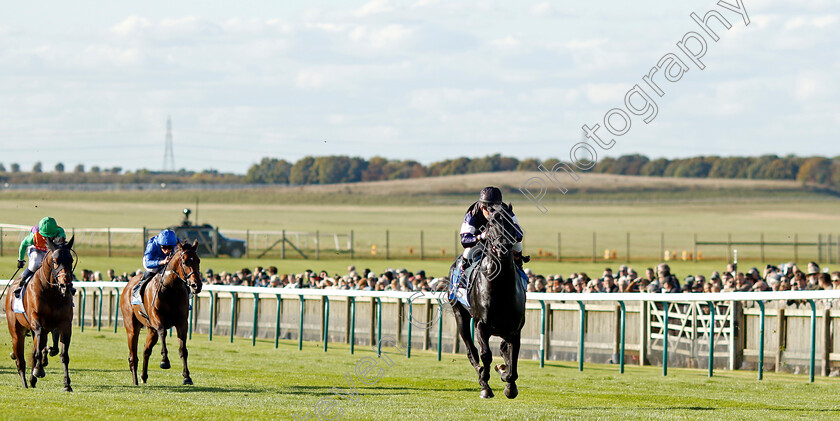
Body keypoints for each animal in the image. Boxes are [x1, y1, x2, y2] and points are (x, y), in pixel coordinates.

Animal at [4, 236, 75, 390]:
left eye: (71, 260)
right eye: (55, 261)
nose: (65, 286)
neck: (52, 293)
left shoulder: (65, 324)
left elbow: (63, 355)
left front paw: (67, 384)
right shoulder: (37, 321)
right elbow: (37, 349)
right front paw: (39, 369)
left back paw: (33, 377)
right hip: (16, 331)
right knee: (20, 359)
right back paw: (26, 381)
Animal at [120, 240, 203, 384]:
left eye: (198, 260)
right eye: (185, 261)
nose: (196, 285)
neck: (172, 289)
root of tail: (127, 286)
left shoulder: (182, 322)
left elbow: (183, 349)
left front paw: (187, 376)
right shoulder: (157, 318)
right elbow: (163, 332)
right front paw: (164, 361)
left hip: (151, 330)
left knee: (146, 351)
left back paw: (144, 377)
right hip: (131, 327)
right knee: (133, 356)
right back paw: (135, 381)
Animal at [446, 205, 524, 398]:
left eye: (511, 222)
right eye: (492, 224)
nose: (503, 246)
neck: (501, 287)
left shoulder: (515, 329)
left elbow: (512, 357)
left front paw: (509, 383)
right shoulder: (481, 324)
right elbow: (486, 354)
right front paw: (485, 386)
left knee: (503, 348)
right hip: (460, 314)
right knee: (471, 351)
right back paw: (481, 375)